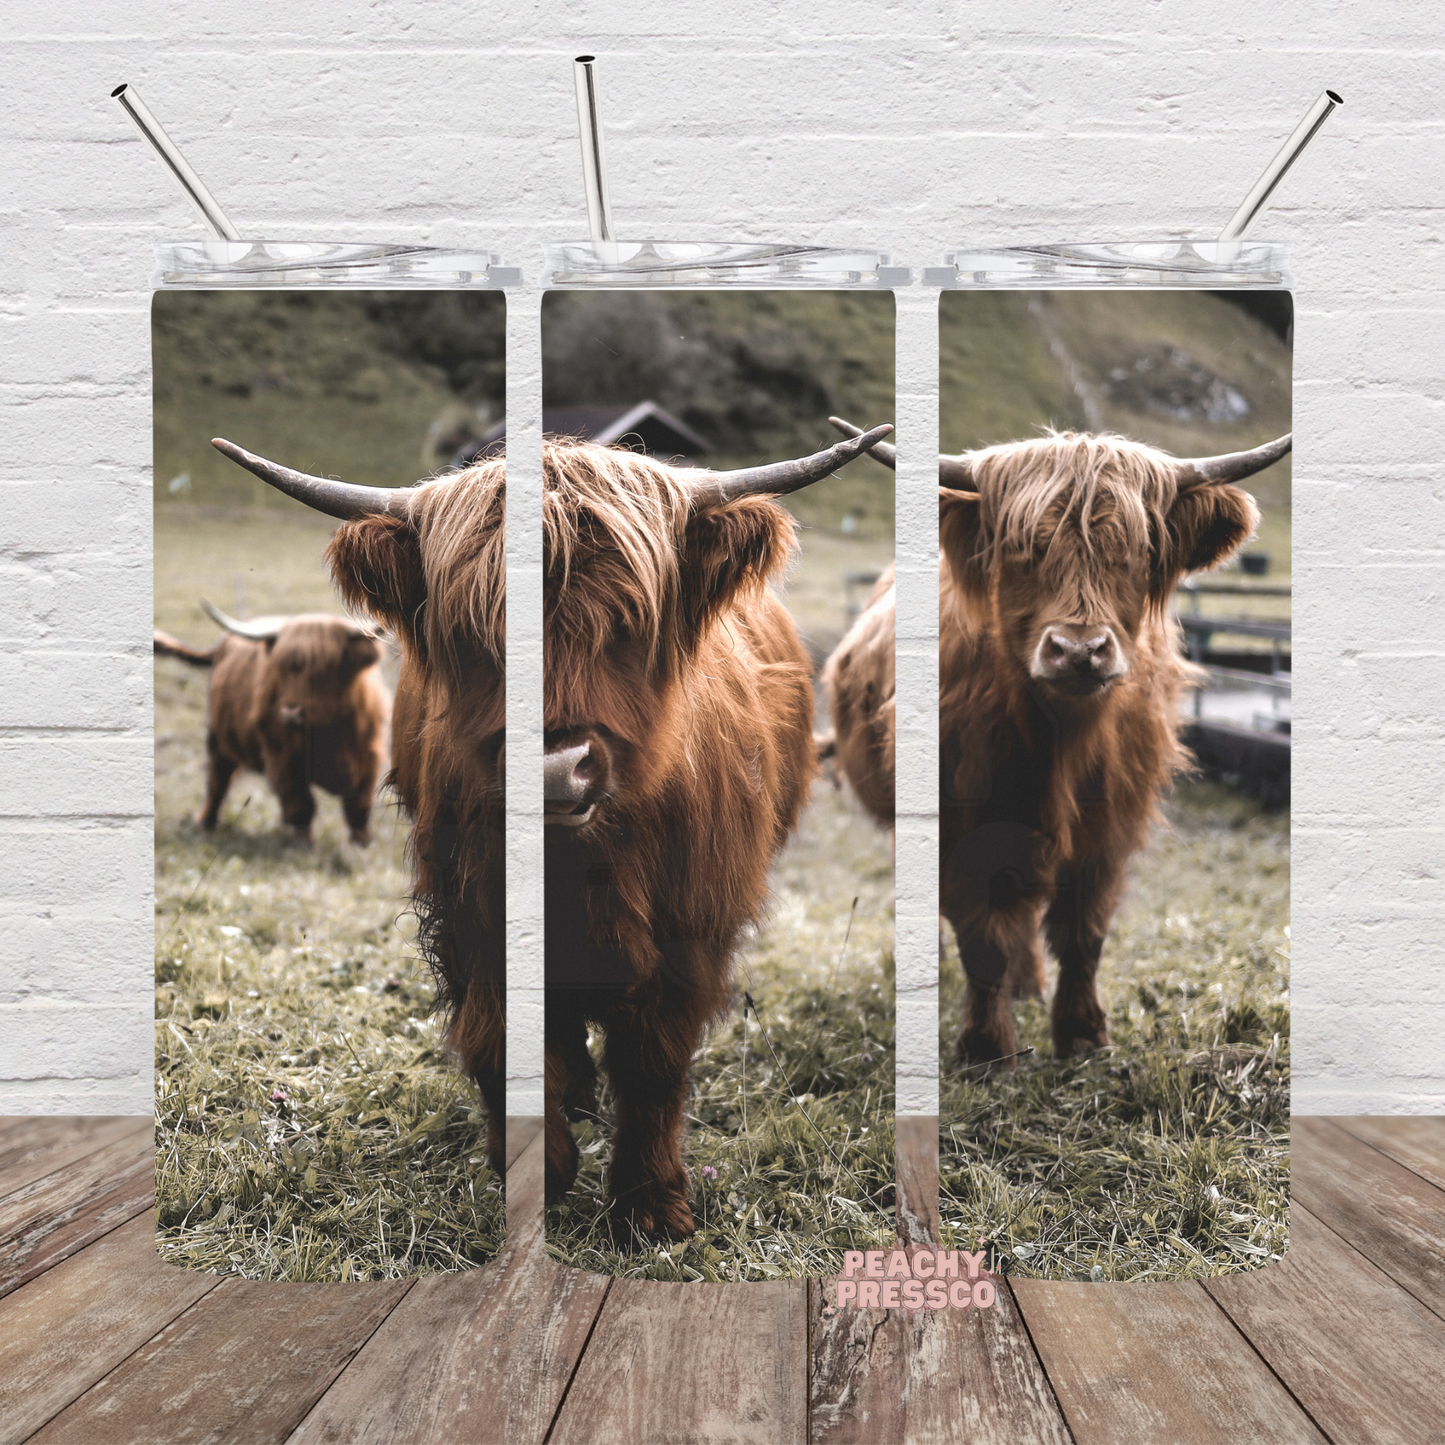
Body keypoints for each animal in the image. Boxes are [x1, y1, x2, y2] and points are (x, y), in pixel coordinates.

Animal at [153, 602, 389, 847]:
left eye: (327, 668)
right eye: (282, 669)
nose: (291, 711)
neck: (326, 730)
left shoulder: (369, 755)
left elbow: (360, 803)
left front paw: (362, 843)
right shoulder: (283, 757)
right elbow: (300, 802)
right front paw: (303, 844)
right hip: (220, 739)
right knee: (218, 780)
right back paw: (205, 823)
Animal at [208, 425, 892, 1234]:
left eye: (628, 624)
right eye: (476, 632)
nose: (555, 768)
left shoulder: (693, 928)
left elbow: (653, 1064)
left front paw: (651, 1206)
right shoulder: (472, 921)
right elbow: (505, 1046)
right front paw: (539, 1168)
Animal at [836, 416, 1290, 1073]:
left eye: (1137, 553)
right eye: (1023, 550)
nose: (1079, 651)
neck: (1061, 741)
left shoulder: (1110, 829)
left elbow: (1083, 933)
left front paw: (1082, 1036)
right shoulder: (963, 824)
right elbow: (982, 939)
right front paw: (987, 1050)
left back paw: (1029, 985)